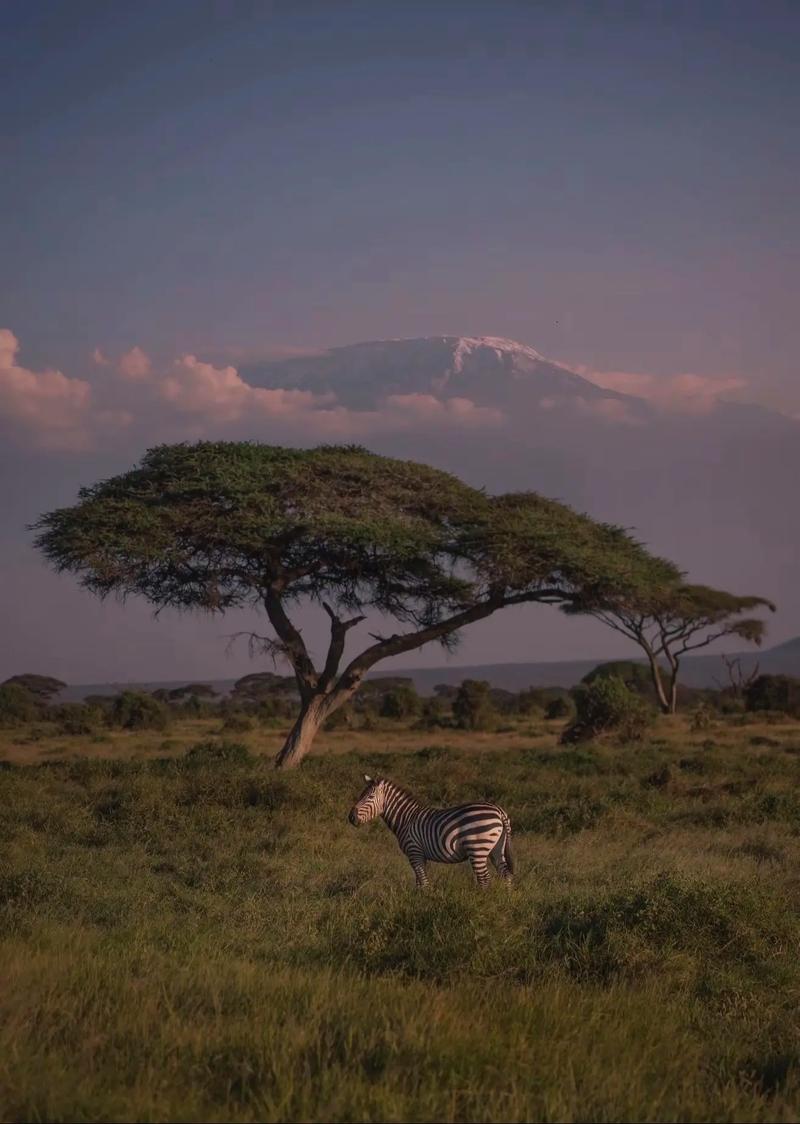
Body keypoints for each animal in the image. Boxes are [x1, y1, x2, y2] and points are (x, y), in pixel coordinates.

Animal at [348, 773, 512, 885]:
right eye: (361, 795)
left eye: (369, 797)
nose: (351, 817)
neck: (406, 818)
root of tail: (499, 811)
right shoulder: (420, 855)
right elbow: (419, 882)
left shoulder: (414, 852)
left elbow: (423, 882)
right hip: (496, 848)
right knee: (506, 874)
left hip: (478, 848)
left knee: (485, 879)